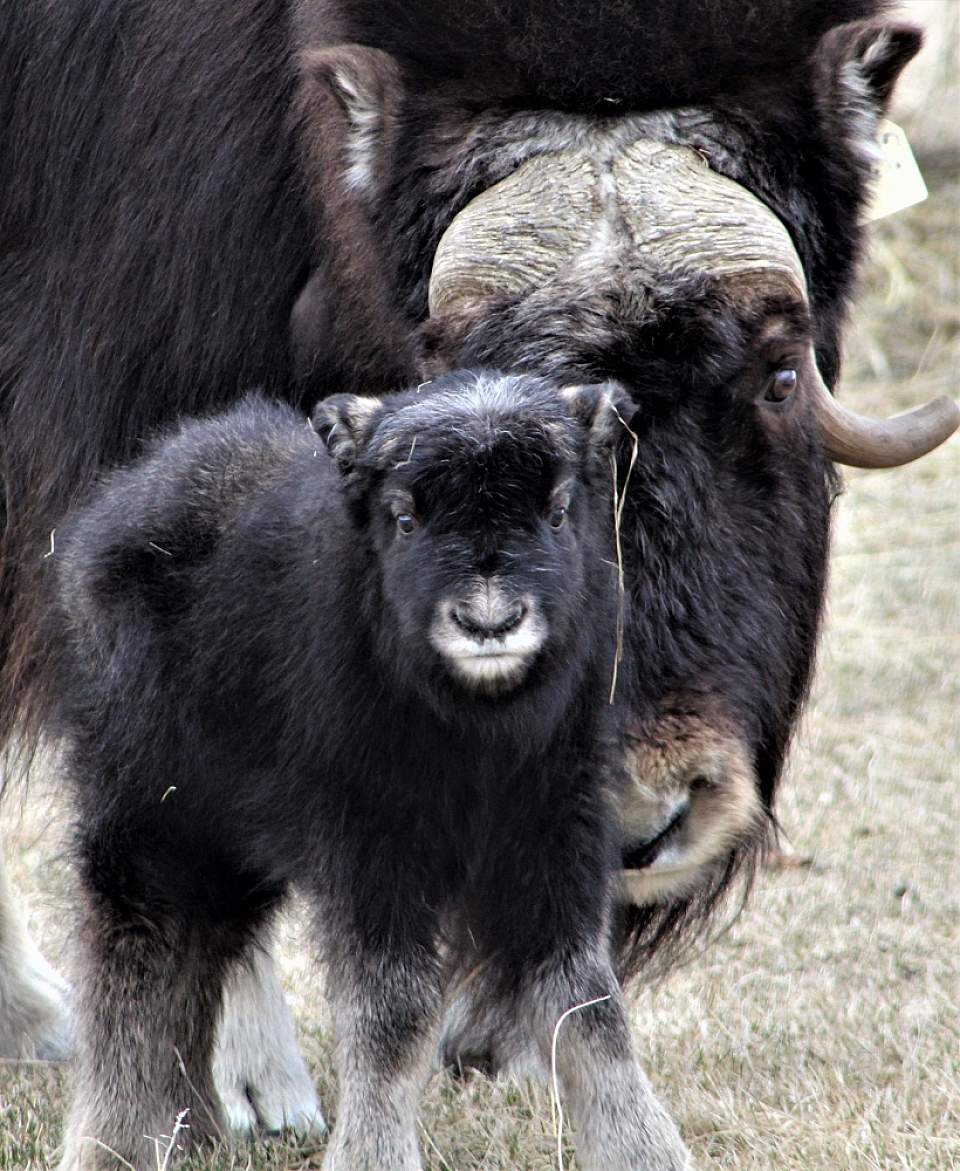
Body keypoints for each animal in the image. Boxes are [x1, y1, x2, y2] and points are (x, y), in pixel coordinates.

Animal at [50, 377, 688, 1171]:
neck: (475, 727)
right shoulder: (371, 848)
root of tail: (120, 507)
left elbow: (586, 998)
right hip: (153, 815)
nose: (489, 623)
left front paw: (645, 1153)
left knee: (203, 947)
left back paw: (191, 1130)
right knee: (137, 944)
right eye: (406, 516)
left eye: (560, 509)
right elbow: (395, 1009)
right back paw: (117, 1144)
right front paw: (374, 1153)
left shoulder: (554, 830)